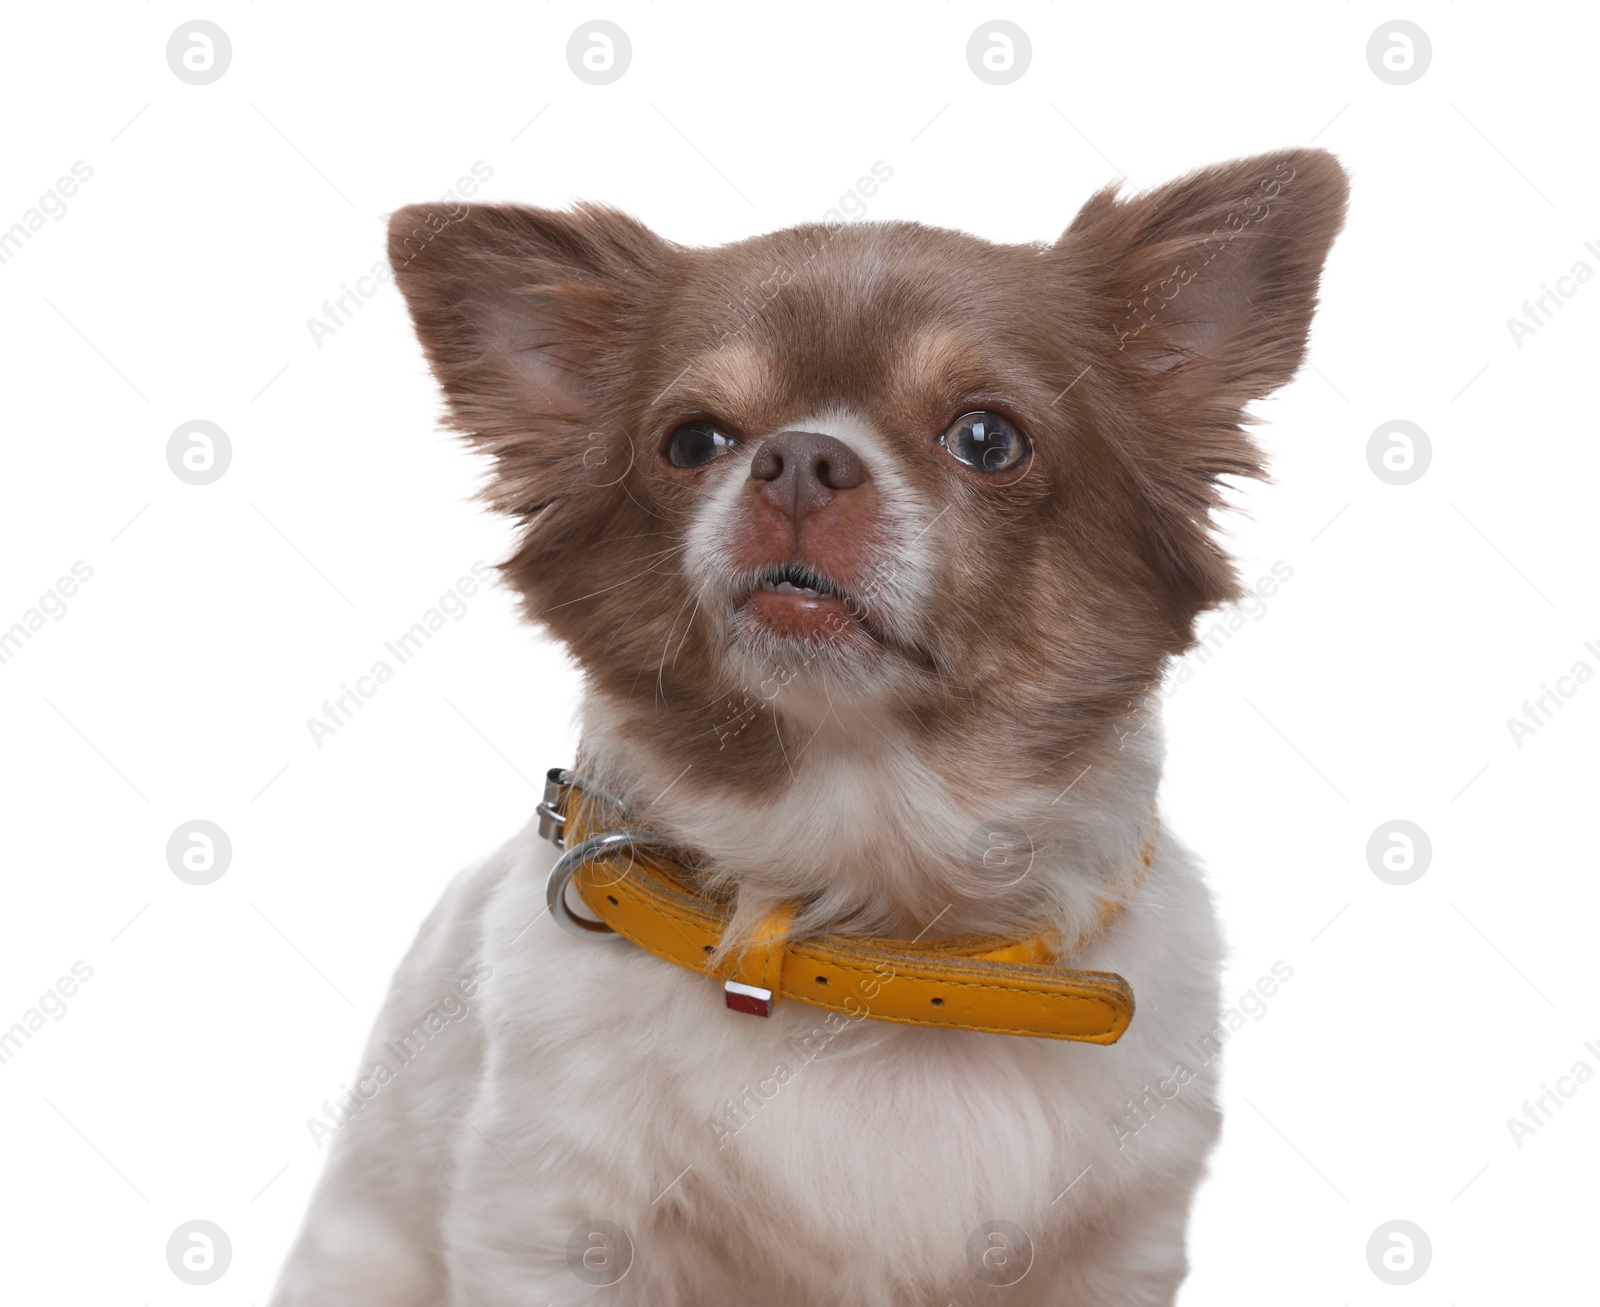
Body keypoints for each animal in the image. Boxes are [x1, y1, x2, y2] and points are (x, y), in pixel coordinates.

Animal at [275, 147, 1350, 1299]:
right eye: (692, 441)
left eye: (987, 438)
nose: (798, 457)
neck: (870, 926)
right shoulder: (554, 1233)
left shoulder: (1114, 1252)